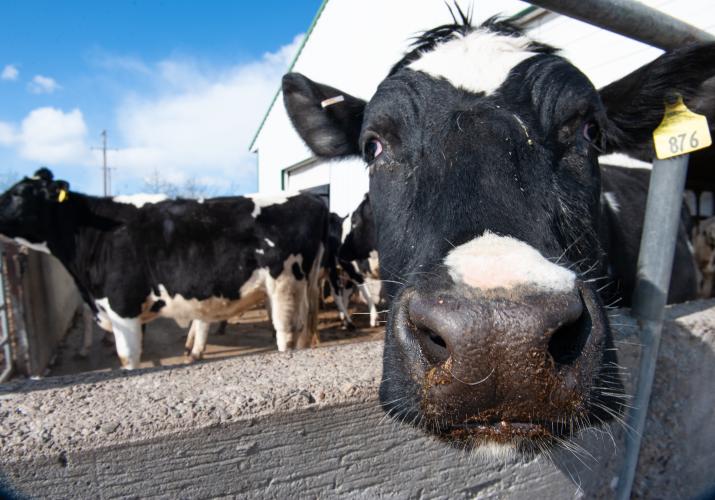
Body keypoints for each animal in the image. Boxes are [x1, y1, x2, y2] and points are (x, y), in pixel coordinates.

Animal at [0, 168, 327, 369]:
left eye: (18, 193)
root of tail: (309, 197)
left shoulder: (123, 308)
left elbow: (128, 358)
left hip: (285, 284)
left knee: (286, 334)